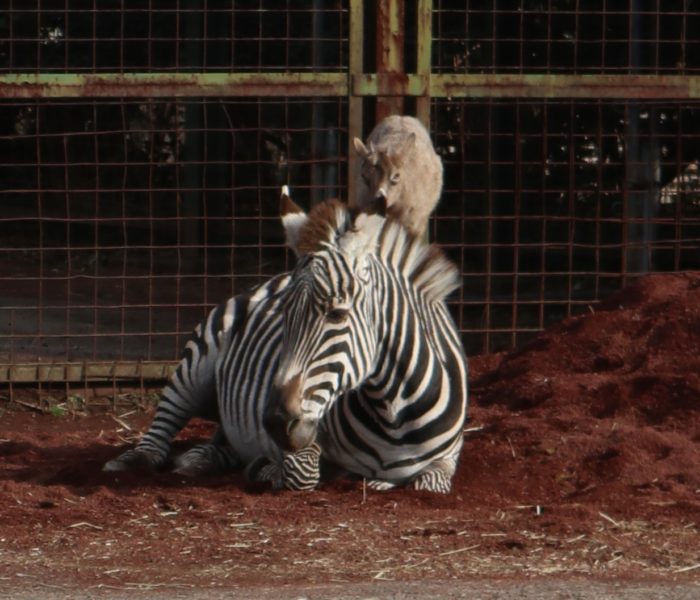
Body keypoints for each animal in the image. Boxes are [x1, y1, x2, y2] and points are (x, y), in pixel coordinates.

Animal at [260, 196, 468, 492]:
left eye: (337, 314)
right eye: (283, 312)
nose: (277, 422)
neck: (396, 417)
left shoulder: (448, 457)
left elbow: (426, 484)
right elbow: (301, 472)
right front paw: (270, 471)